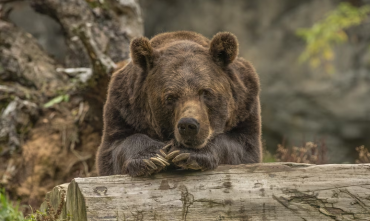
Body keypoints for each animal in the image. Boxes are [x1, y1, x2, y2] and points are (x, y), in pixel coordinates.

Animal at [97, 30, 262, 176]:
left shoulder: (245, 107)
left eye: (206, 92)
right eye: (170, 97)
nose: (188, 125)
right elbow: (115, 147)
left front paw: (186, 153)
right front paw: (152, 157)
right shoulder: (124, 109)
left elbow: (242, 147)